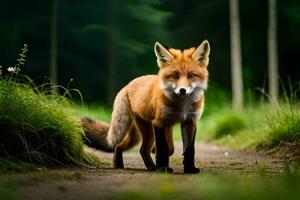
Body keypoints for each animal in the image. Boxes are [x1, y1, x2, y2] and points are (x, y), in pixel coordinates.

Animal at [81, 39, 210, 173]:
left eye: (191, 75)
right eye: (175, 76)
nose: (182, 90)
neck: (183, 105)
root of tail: (127, 85)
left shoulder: (190, 122)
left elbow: (189, 149)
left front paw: (189, 169)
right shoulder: (159, 123)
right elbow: (162, 148)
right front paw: (162, 168)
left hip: (141, 134)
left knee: (142, 148)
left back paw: (148, 166)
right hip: (146, 131)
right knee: (134, 148)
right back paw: (127, 165)